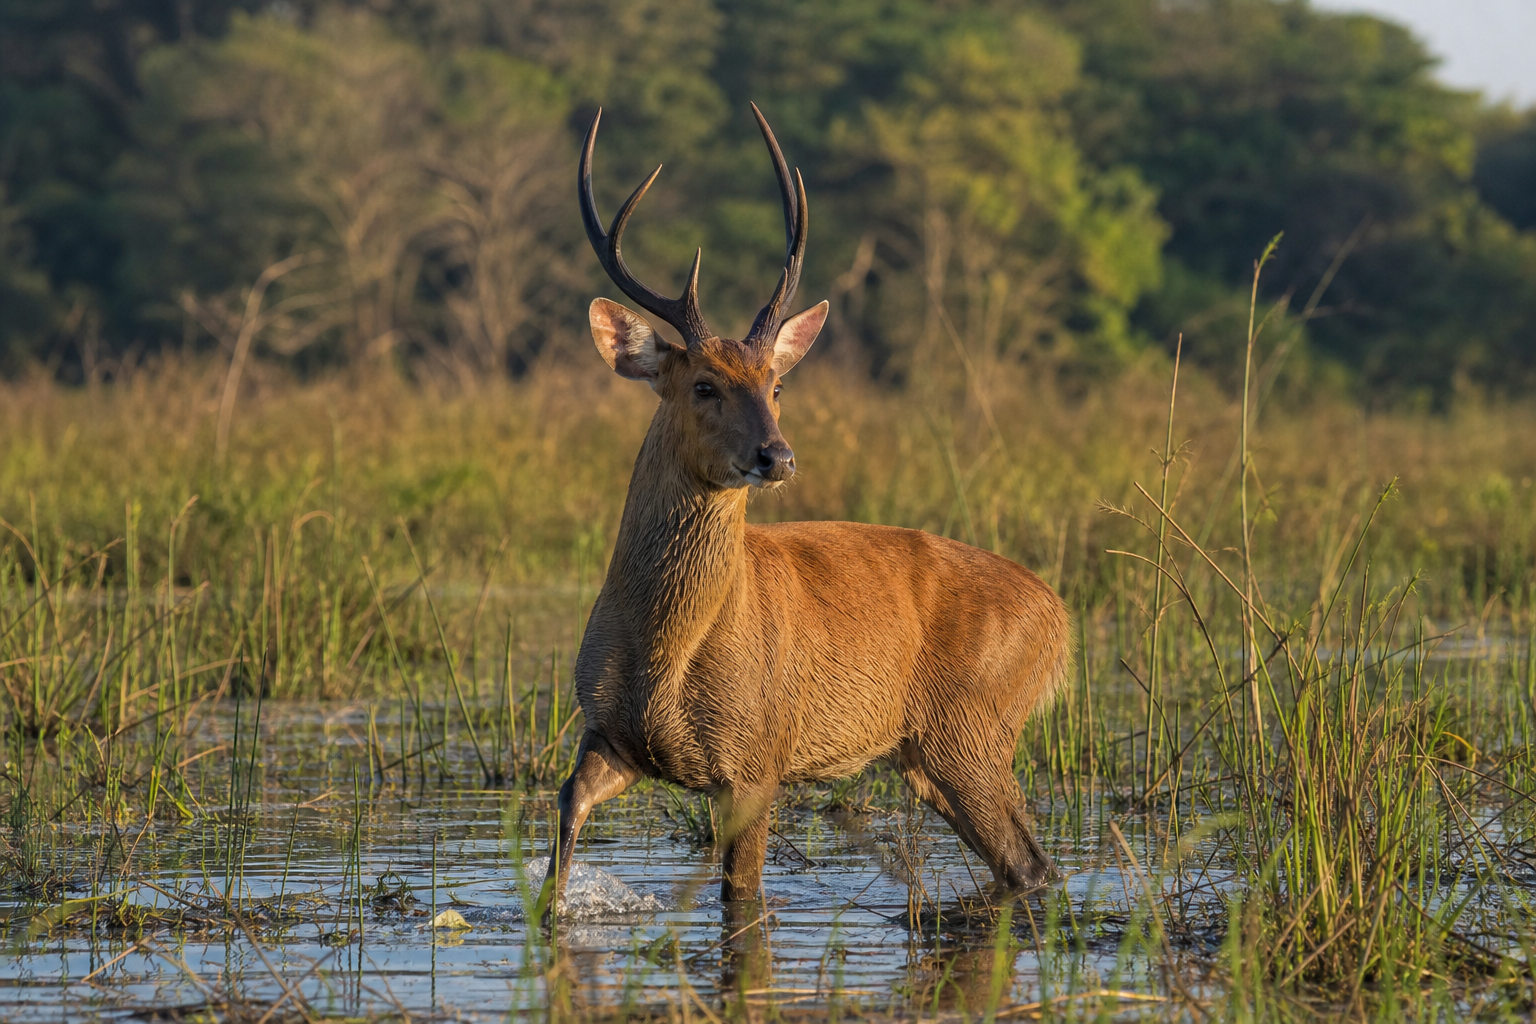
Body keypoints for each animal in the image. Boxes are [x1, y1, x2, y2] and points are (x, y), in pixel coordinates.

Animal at [542, 104, 1071, 913]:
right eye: (703, 384)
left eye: (776, 384)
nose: (777, 456)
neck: (666, 649)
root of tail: (1059, 619)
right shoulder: (609, 734)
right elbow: (564, 819)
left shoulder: (755, 758)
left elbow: (743, 900)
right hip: (937, 751)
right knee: (1025, 862)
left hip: (973, 729)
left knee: (1031, 860)